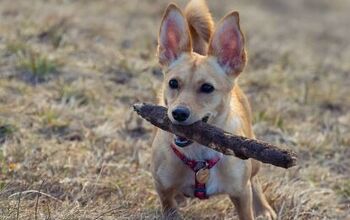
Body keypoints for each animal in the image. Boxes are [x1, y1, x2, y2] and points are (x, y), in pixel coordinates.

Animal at [152, 0, 278, 219]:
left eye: (207, 88)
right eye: (173, 83)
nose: (178, 113)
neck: (198, 156)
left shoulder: (241, 194)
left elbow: (247, 209)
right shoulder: (163, 189)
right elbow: (170, 207)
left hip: (254, 160)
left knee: (254, 180)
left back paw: (263, 208)